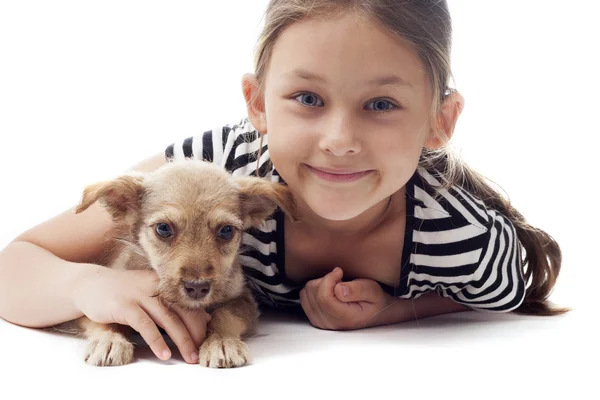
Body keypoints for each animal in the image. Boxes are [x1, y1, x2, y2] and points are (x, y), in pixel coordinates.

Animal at [55, 159, 298, 368]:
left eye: (226, 231)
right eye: (163, 228)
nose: (197, 288)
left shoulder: (242, 298)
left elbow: (225, 314)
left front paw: (221, 342)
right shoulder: (90, 308)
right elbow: (106, 318)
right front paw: (110, 341)